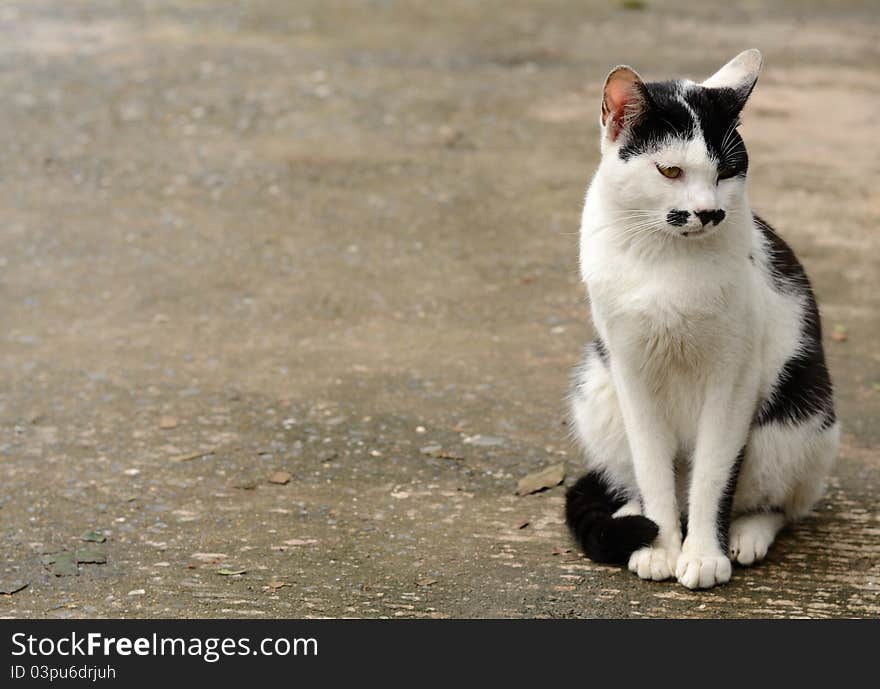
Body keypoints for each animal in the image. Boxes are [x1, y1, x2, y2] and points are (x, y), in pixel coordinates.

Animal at [564, 48, 840, 588]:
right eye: (670, 171)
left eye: (727, 172)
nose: (709, 212)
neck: (664, 259)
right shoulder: (630, 370)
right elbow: (651, 466)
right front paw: (660, 547)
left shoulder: (734, 378)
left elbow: (715, 474)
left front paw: (703, 555)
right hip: (596, 387)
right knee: (638, 476)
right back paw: (633, 517)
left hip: (798, 417)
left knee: (780, 503)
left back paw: (747, 534)